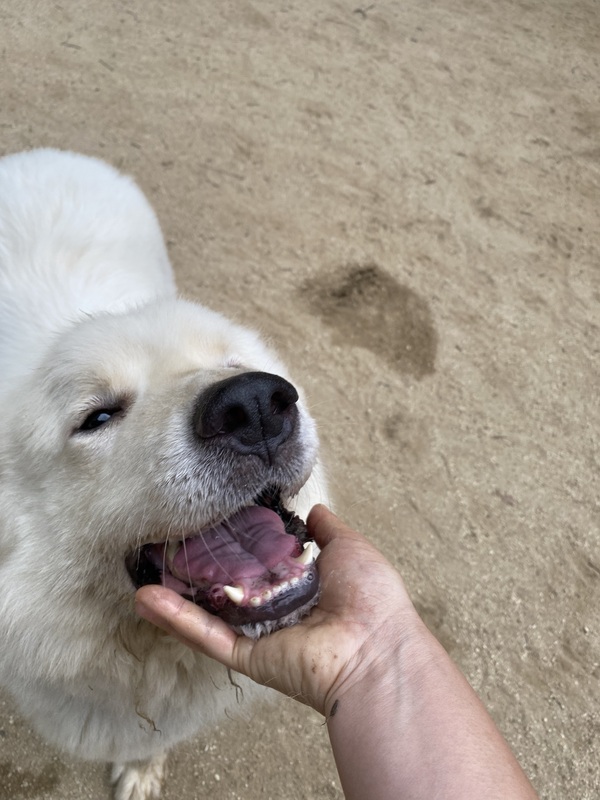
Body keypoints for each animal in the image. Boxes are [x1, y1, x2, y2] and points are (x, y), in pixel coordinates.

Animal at [0, 149, 327, 799]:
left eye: (234, 362)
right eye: (98, 416)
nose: (254, 404)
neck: (140, 651)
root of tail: (46, 154)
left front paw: (142, 769)